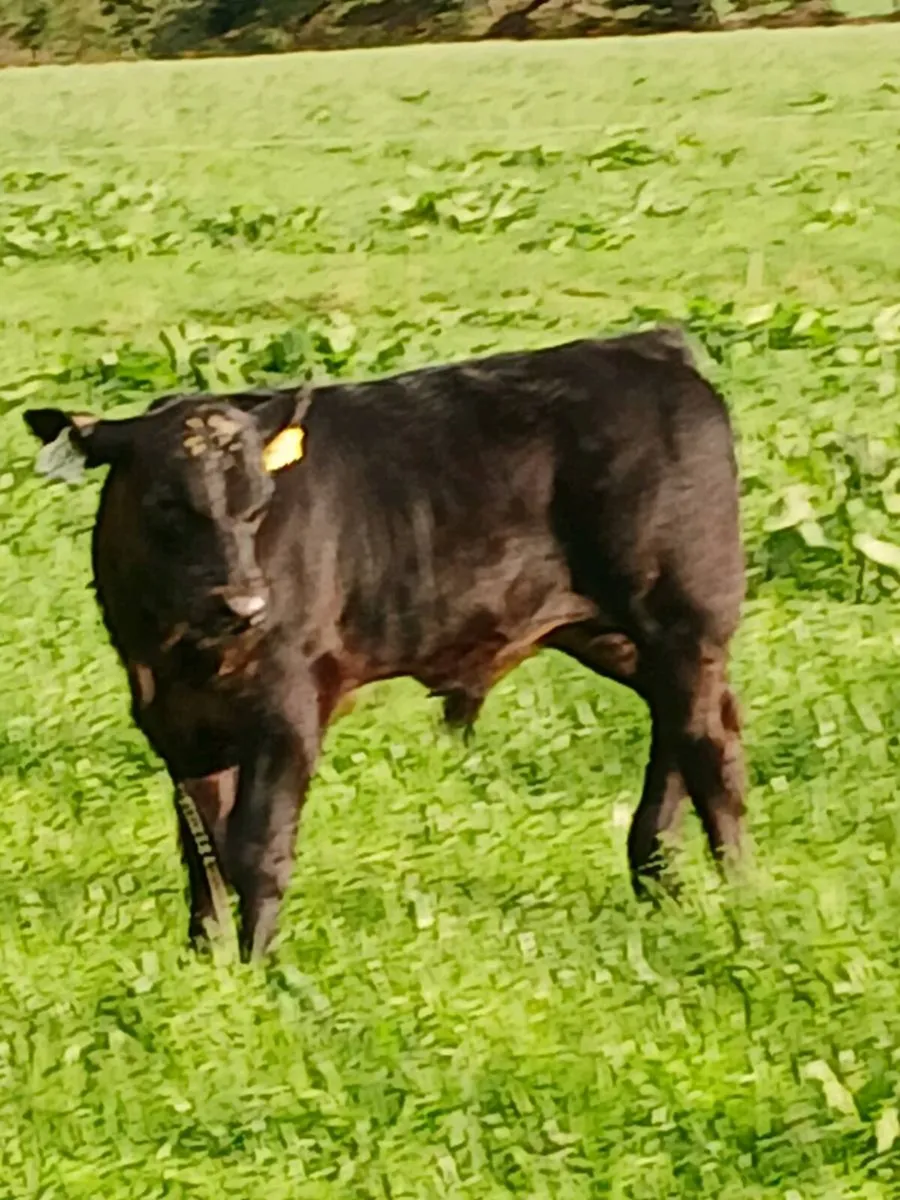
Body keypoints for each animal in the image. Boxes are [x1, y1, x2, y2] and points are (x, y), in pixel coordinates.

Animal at [24, 325, 746, 962]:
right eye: (167, 503)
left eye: (257, 504)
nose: (245, 605)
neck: (178, 648)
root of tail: (646, 347)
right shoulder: (174, 725)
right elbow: (203, 854)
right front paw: (206, 958)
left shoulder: (289, 712)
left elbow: (259, 849)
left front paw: (260, 967)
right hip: (616, 635)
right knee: (684, 726)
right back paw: (656, 874)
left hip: (684, 619)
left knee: (708, 742)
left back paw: (741, 892)